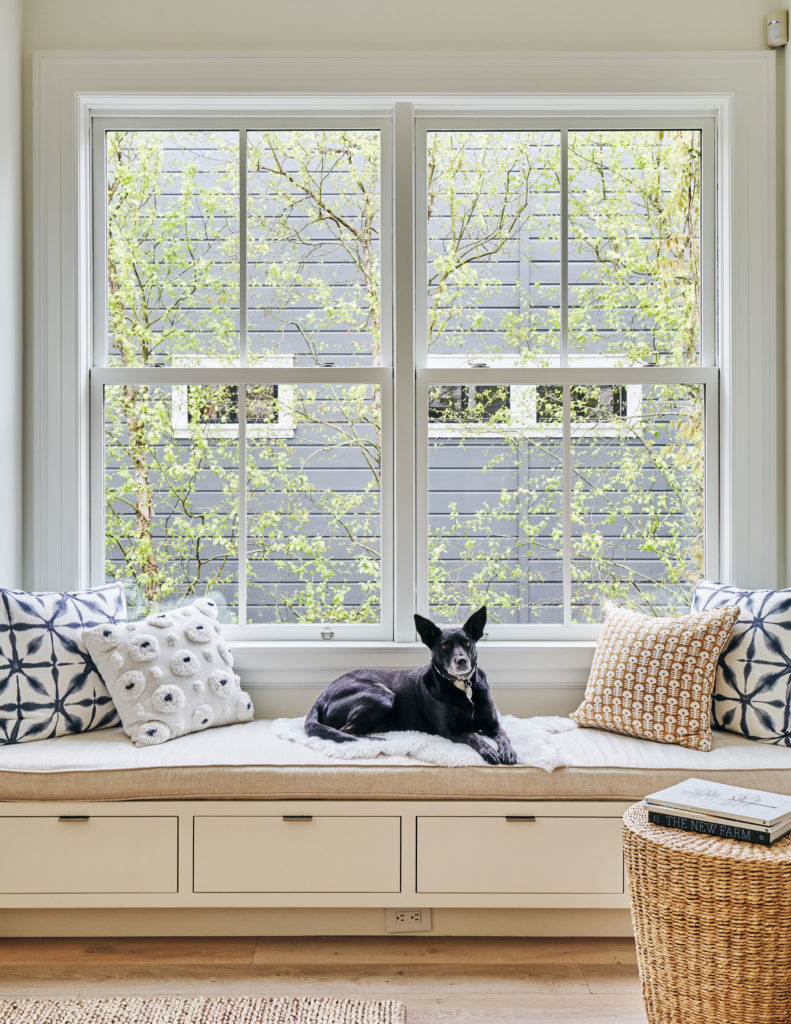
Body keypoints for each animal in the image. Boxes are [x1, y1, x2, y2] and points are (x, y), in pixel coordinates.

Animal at [303, 606, 518, 761]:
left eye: (467, 643)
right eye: (445, 646)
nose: (462, 661)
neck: (463, 687)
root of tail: (322, 696)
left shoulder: (493, 725)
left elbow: (504, 736)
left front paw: (508, 752)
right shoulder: (451, 731)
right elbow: (474, 735)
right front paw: (488, 750)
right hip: (382, 695)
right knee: (345, 732)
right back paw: (373, 740)